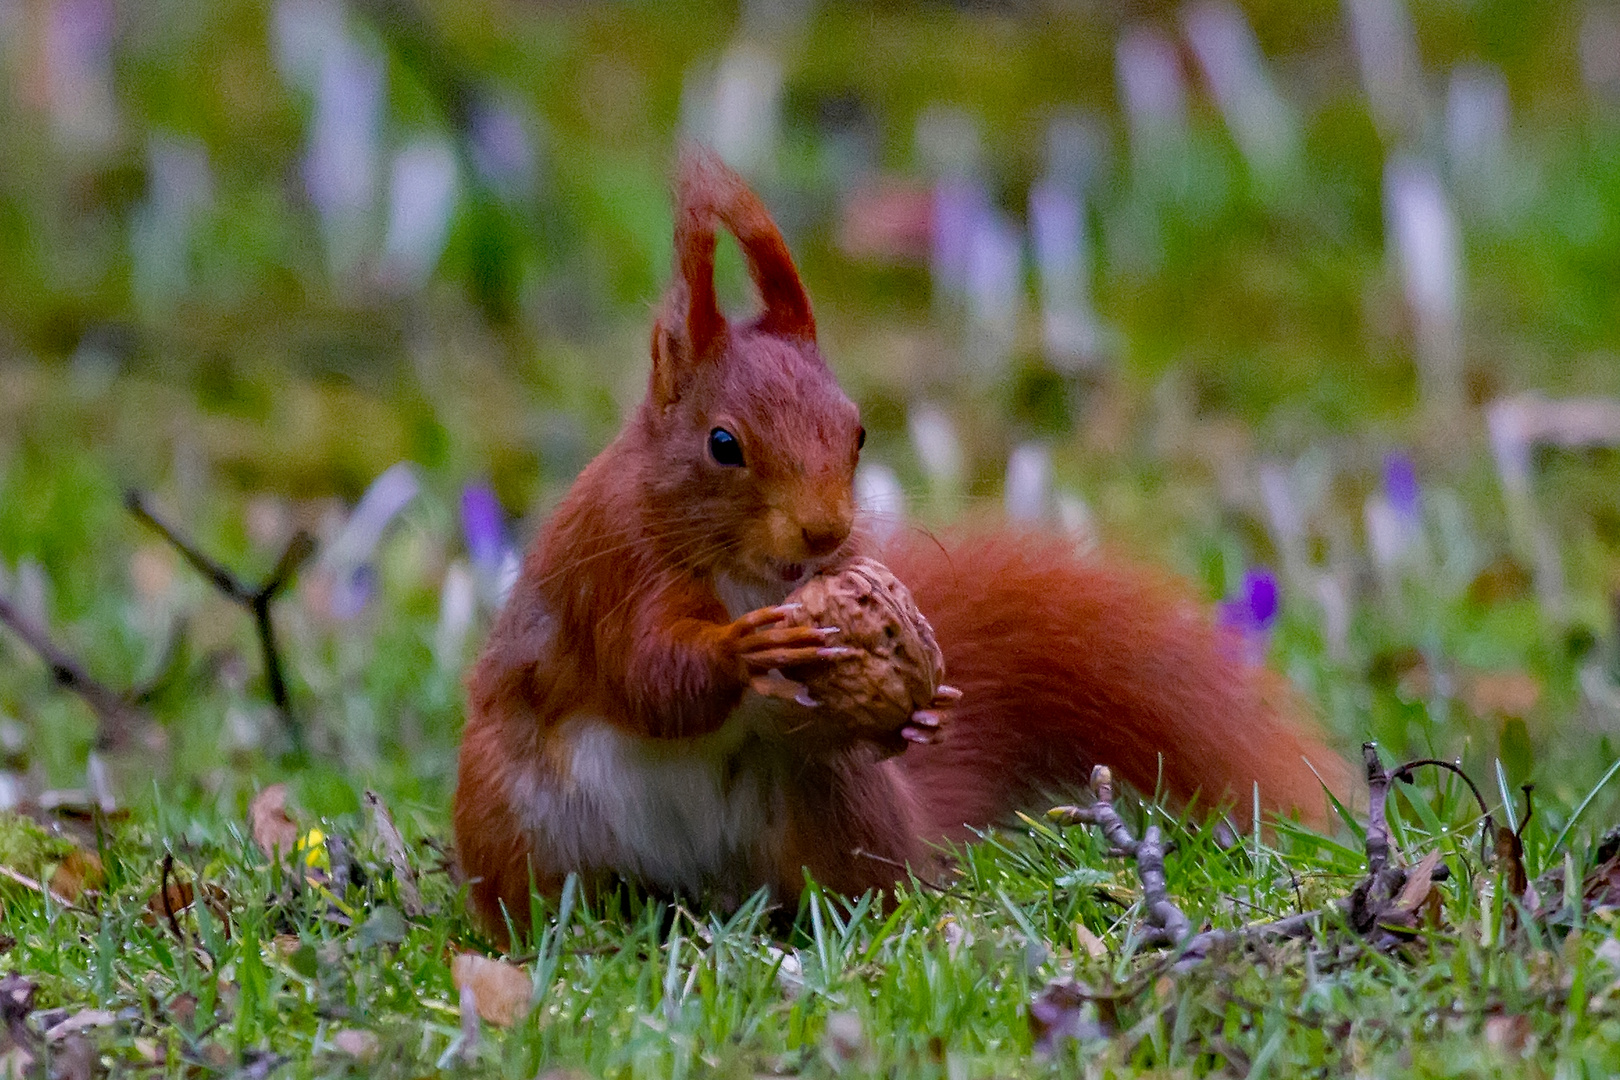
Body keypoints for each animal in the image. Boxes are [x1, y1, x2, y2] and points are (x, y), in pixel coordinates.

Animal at [450, 152, 1347, 939]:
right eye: (722, 444)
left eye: (857, 432)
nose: (825, 530)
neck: (751, 575)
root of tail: (692, 885)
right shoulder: (613, 569)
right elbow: (646, 674)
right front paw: (742, 649)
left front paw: (921, 710)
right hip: (513, 819)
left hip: (834, 807)